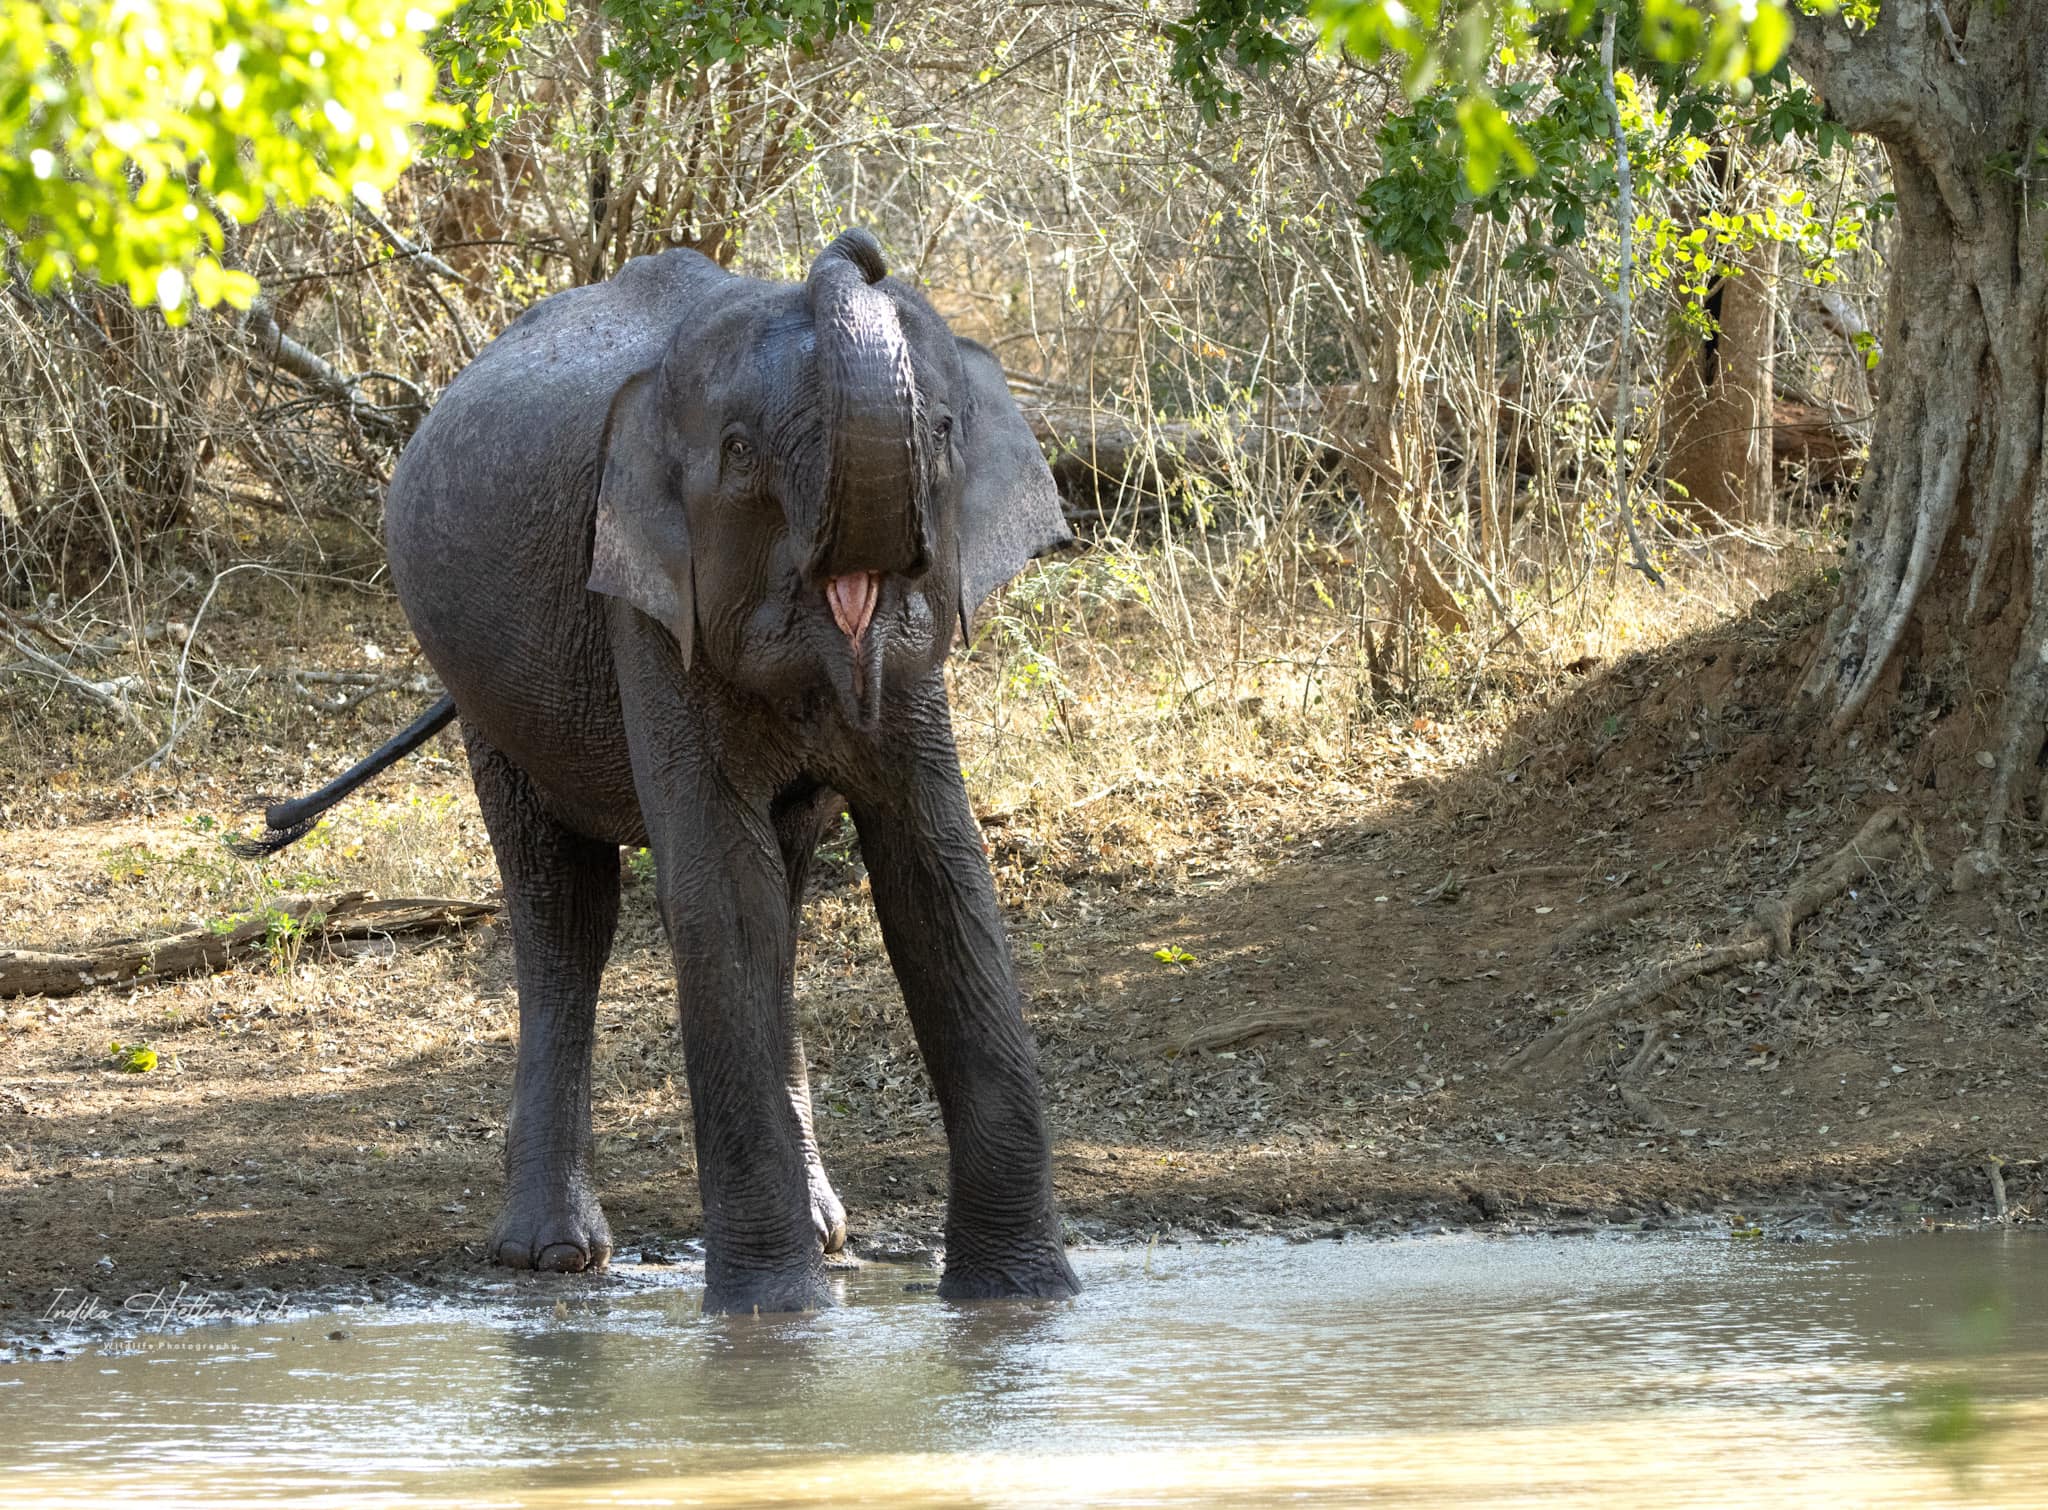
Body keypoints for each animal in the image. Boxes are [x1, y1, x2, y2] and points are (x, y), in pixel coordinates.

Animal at [234, 229, 1080, 1312]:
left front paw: (1022, 1303)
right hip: (486, 693)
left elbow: (936, 867)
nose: (854, 249)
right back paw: (552, 1255)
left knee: (782, 890)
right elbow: (718, 883)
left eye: (940, 431)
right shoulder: (639, 602)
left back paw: (825, 1235)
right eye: (738, 453)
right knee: (566, 907)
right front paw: (772, 1322)